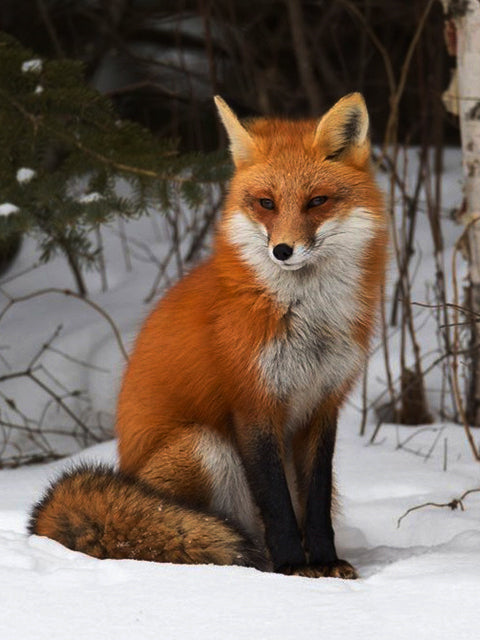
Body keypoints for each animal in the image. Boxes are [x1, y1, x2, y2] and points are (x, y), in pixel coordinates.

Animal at [29, 93, 388, 578]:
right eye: (266, 203)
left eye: (317, 201)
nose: (282, 250)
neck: (305, 317)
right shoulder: (252, 403)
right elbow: (277, 505)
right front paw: (293, 570)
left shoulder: (322, 404)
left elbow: (313, 506)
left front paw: (325, 563)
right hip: (204, 446)